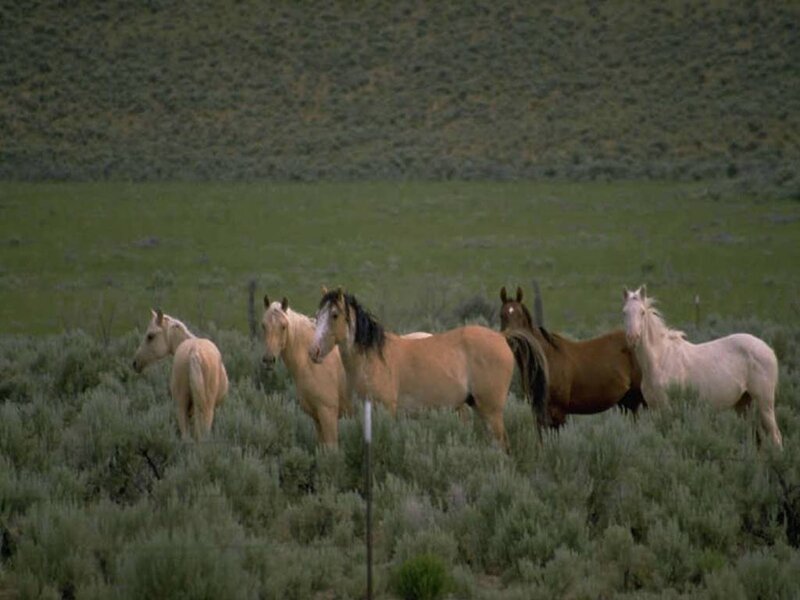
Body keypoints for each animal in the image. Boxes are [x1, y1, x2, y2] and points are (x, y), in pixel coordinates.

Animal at [261, 294, 432, 446]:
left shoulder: (328, 414)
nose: (269, 359)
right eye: (263, 325)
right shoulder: (316, 417)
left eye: (283, 326)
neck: (309, 364)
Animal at [308, 287, 550, 448]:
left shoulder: (386, 410)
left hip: (491, 410)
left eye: (334, 315)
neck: (374, 358)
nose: (313, 351)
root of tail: (501, 337)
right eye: (318, 315)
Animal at [500, 286, 645, 428]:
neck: (548, 360)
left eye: (520, 315)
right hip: (627, 401)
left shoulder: (558, 413)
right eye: (501, 315)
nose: (511, 340)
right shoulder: (539, 414)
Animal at [622, 286, 782, 448]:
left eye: (642, 312)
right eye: (624, 312)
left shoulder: (667, 408)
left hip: (765, 403)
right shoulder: (654, 408)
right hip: (743, 404)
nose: (632, 337)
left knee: (775, 436)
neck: (660, 359)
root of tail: (768, 349)